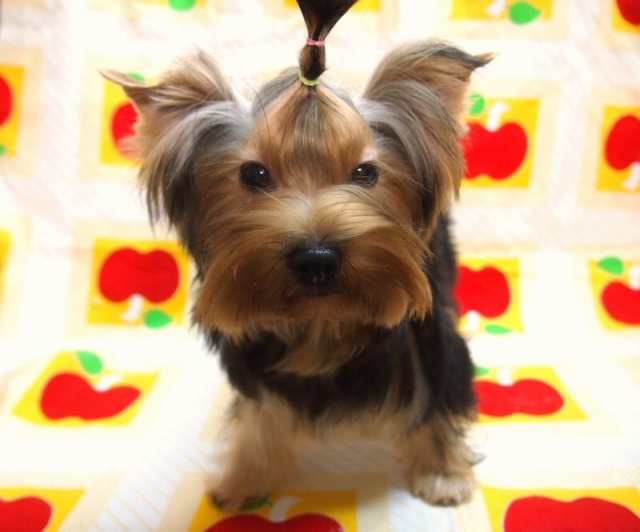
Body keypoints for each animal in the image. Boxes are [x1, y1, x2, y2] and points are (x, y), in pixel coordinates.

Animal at [102, 0, 491, 510]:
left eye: (366, 173)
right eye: (254, 175)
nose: (317, 258)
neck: (321, 321)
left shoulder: (427, 348)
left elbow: (437, 397)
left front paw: (442, 475)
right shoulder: (255, 366)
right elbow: (260, 415)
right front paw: (245, 480)